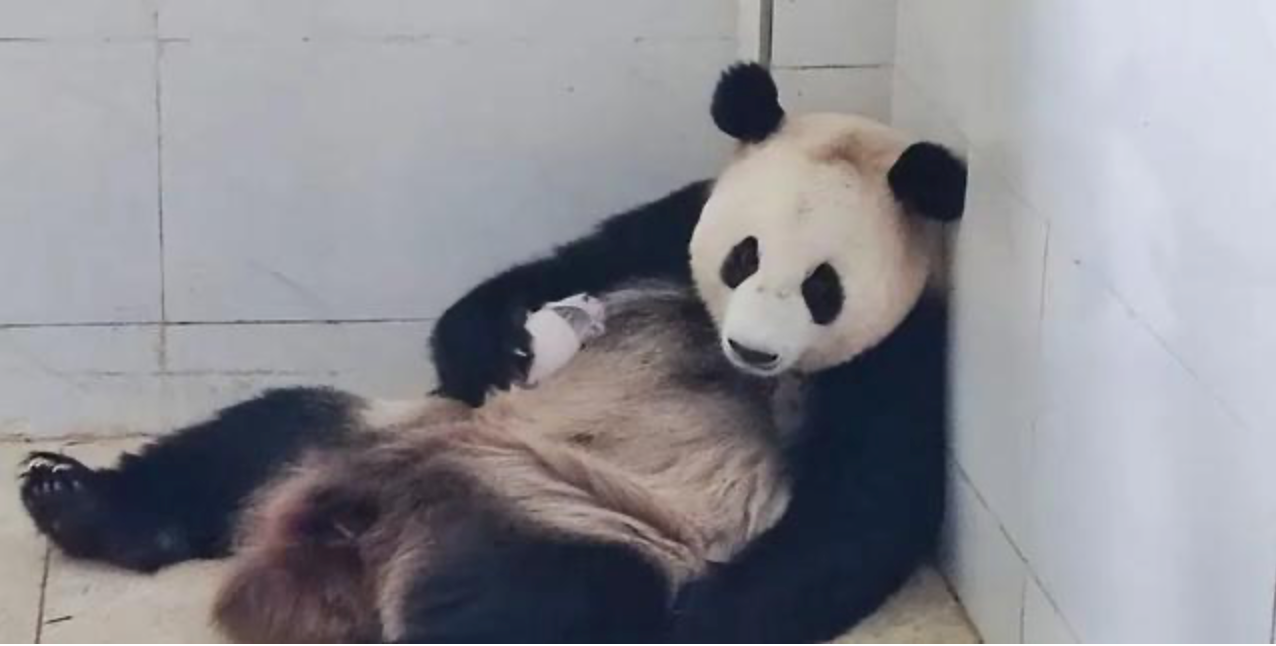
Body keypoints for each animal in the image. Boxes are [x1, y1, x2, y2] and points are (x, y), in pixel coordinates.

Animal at [17, 62, 966, 643]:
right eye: (743, 257)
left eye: (821, 287)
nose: (751, 348)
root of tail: (355, 533)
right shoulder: (669, 227)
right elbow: (551, 269)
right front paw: (500, 352)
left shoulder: (900, 359)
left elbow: (855, 516)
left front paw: (707, 617)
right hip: (365, 431)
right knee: (252, 437)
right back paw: (80, 501)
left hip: (570, 526)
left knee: (537, 605)